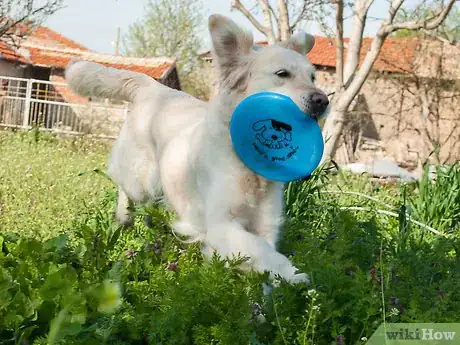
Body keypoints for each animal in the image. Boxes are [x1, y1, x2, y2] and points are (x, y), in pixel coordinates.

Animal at [65, 14, 330, 282]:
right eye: (282, 73)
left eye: (312, 77)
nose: (322, 101)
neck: (247, 165)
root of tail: (152, 87)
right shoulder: (220, 224)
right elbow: (260, 249)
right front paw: (294, 274)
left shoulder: (267, 224)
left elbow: (264, 253)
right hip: (139, 180)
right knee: (125, 189)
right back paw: (124, 217)